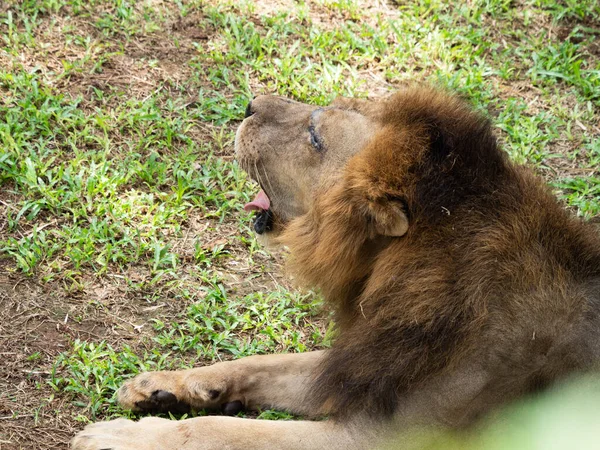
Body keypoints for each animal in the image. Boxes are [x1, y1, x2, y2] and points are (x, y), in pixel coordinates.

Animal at [71, 88, 600, 450]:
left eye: (314, 135)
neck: (389, 273)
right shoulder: (357, 364)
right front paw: (159, 386)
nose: (249, 103)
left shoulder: (377, 437)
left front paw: (117, 437)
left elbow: (221, 431)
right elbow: (263, 364)